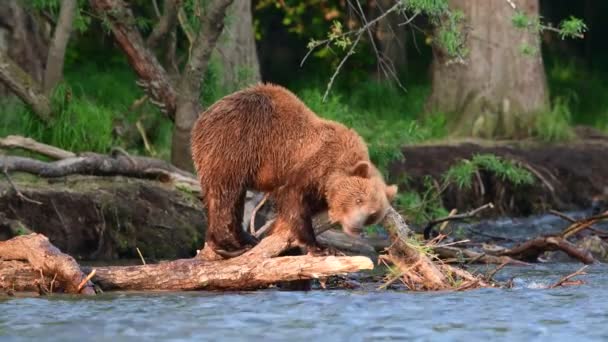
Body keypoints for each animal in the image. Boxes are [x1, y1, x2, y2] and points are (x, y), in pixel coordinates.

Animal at [191, 83, 400, 258]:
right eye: (359, 199)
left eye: (373, 215)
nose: (356, 227)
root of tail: (203, 117)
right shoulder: (304, 168)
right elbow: (294, 202)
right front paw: (318, 246)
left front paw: (281, 241)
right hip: (235, 144)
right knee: (226, 195)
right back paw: (231, 244)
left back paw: (245, 238)